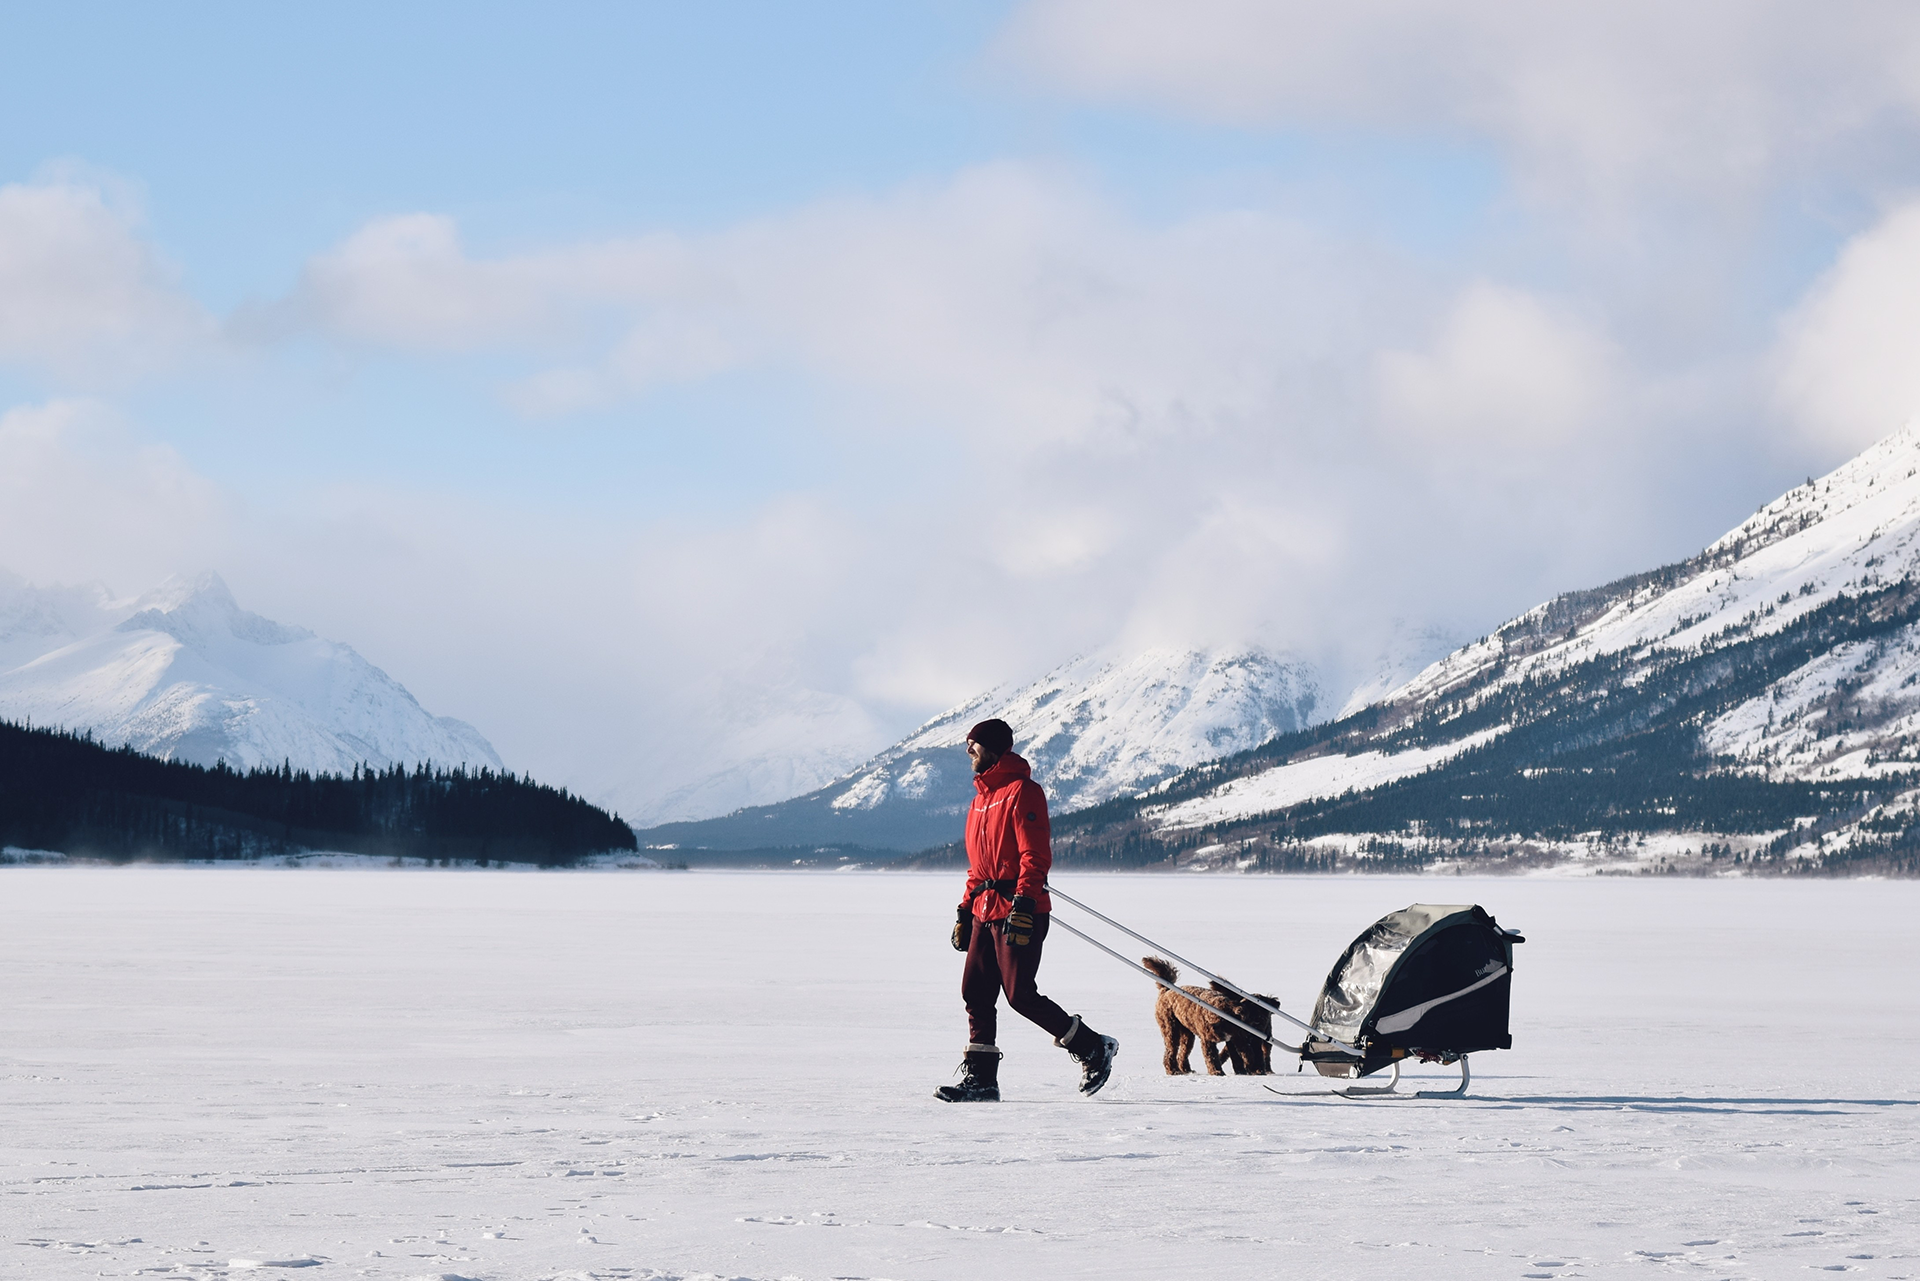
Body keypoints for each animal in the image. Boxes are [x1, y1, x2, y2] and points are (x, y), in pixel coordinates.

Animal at [1136, 956, 1274, 1075]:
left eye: (1261, 1018)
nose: (1259, 1029)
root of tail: (1166, 990)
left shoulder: (1236, 1038)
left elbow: (1244, 1054)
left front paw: (1248, 1070)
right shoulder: (1209, 1040)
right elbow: (1212, 1057)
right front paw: (1217, 1072)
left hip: (1187, 1033)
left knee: (1183, 1052)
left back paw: (1186, 1069)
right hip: (1170, 1028)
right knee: (1170, 1052)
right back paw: (1173, 1070)